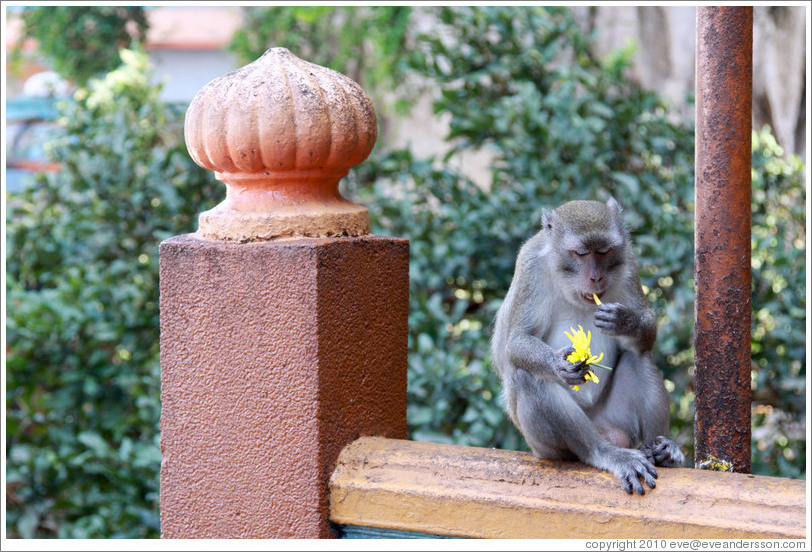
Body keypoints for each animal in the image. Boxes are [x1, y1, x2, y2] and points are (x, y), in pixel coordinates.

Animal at [488, 198, 684, 496]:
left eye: (604, 252)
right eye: (580, 253)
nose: (596, 278)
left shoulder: (627, 261)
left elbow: (647, 331)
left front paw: (626, 321)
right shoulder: (531, 266)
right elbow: (517, 342)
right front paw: (560, 365)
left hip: (617, 419)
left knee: (638, 355)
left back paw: (661, 448)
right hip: (546, 447)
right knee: (528, 377)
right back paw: (604, 453)